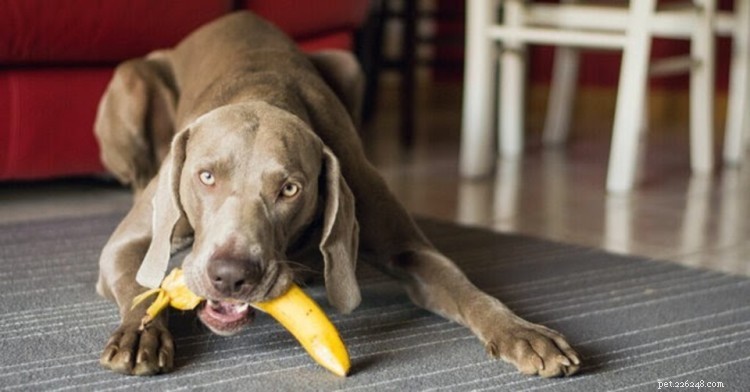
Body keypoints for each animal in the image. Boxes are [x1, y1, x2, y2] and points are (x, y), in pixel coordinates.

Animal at [91, 12, 580, 378]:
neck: (263, 93)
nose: (231, 276)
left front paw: (521, 332)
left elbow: (467, 289)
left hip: (349, 63)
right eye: (206, 176)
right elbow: (140, 285)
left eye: (290, 189)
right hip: (131, 80)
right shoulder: (127, 244)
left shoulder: (408, 245)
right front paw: (140, 333)